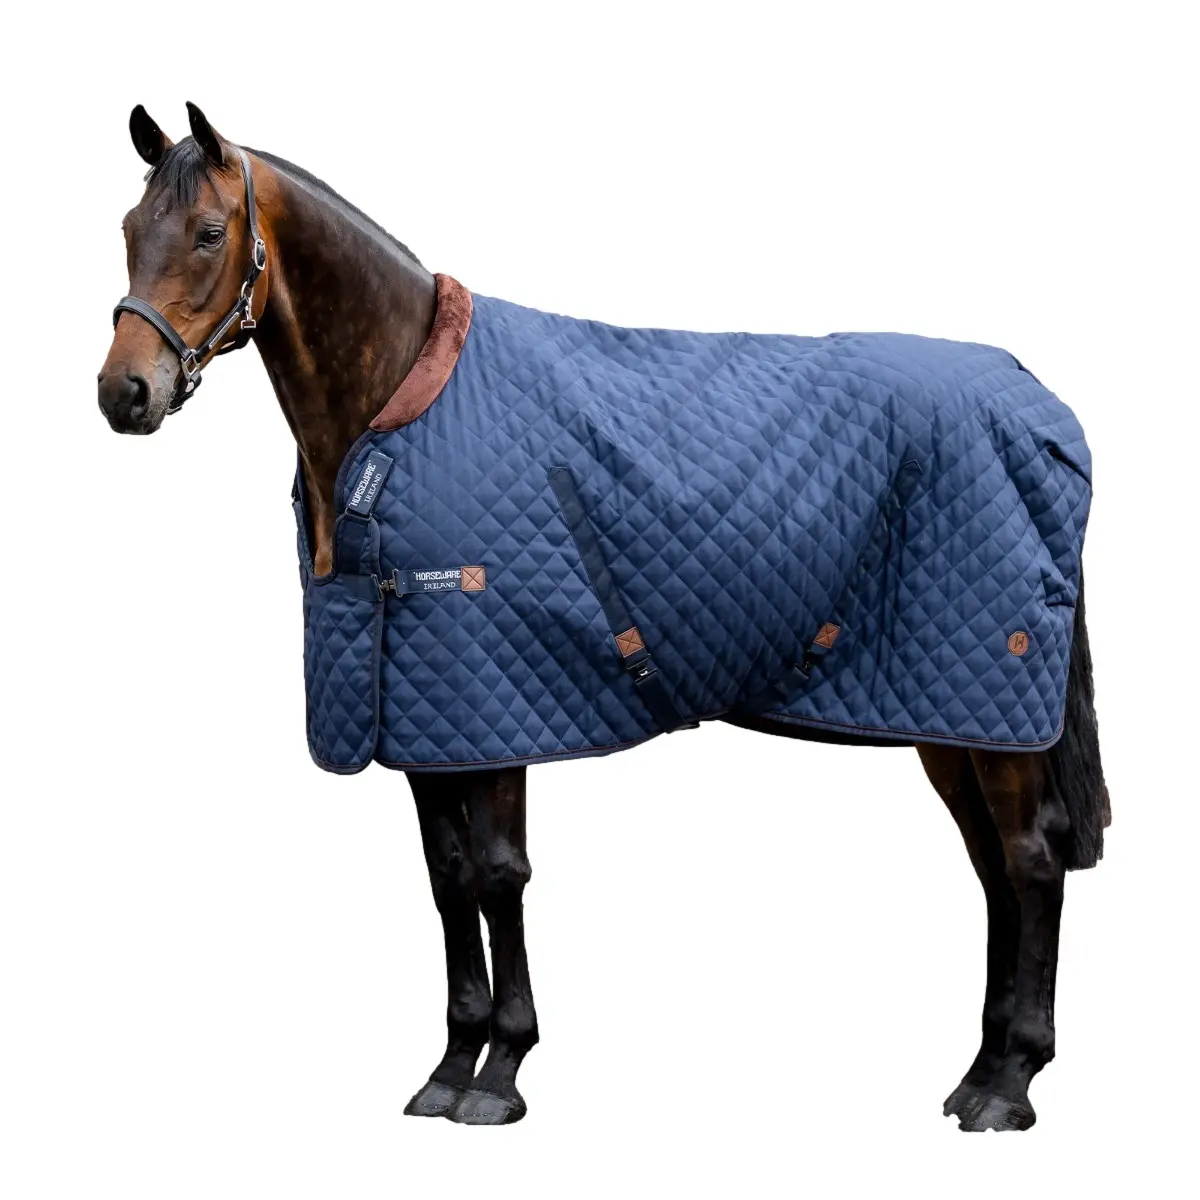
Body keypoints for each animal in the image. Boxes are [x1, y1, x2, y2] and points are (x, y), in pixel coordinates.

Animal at [97, 103, 1110, 1130]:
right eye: (129, 232)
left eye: (209, 234)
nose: (123, 393)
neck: (405, 408)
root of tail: (1040, 407)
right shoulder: (418, 713)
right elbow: (448, 878)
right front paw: (449, 1064)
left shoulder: (493, 704)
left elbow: (499, 873)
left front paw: (501, 1071)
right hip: (948, 717)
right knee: (993, 867)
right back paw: (979, 1071)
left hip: (992, 714)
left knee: (1030, 862)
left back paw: (1011, 1084)